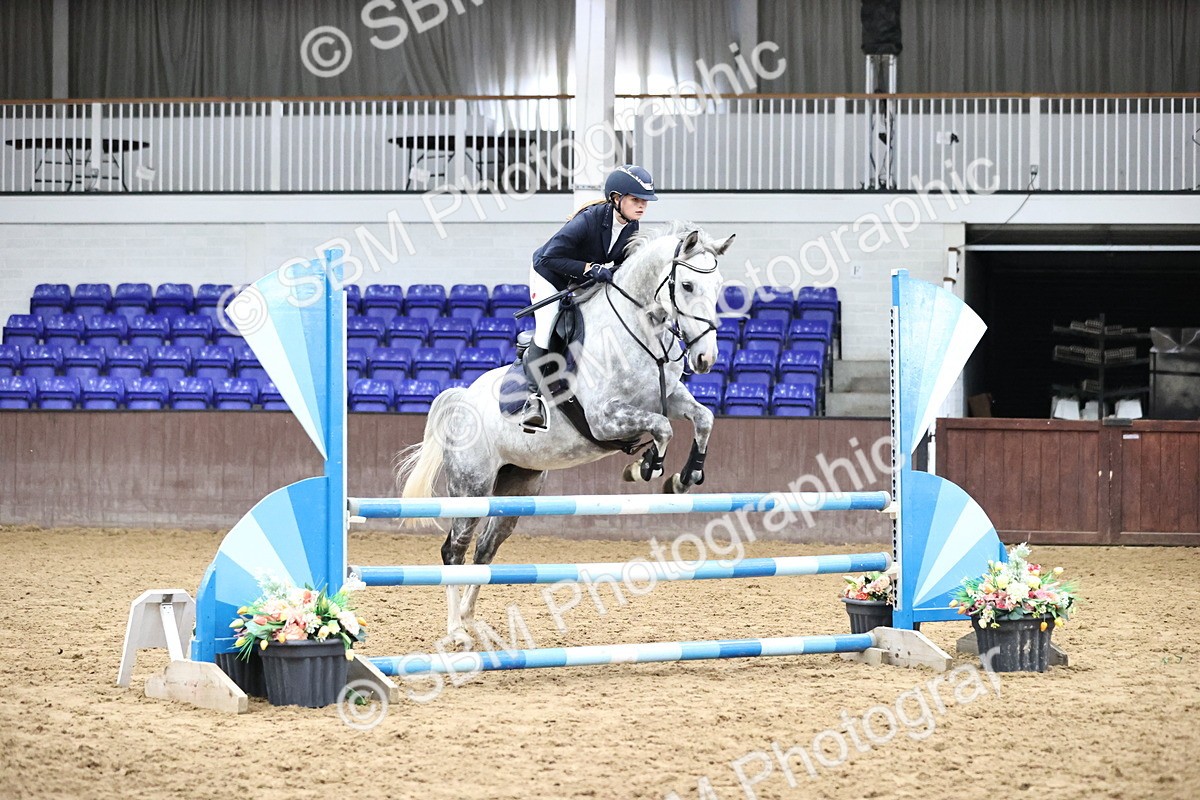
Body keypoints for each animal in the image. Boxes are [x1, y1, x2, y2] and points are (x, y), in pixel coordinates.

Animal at [396, 222, 734, 647]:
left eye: (719, 285)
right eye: (687, 285)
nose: (706, 359)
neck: (636, 331)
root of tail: (462, 400)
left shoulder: (668, 397)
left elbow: (703, 419)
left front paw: (684, 477)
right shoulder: (605, 418)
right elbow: (663, 428)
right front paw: (646, 467)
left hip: (517, 488)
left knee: (485, 550)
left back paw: (472, 621)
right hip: (471, 487)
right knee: (454, 551)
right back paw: (457, 631)